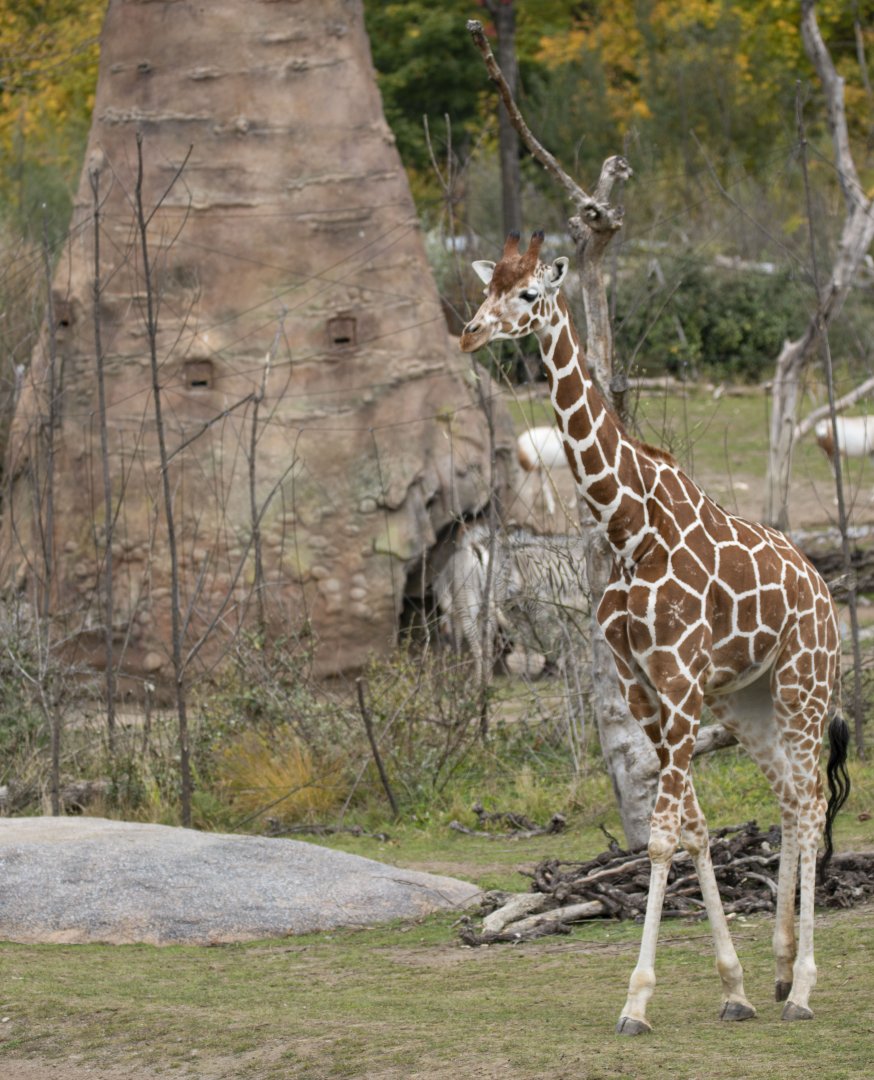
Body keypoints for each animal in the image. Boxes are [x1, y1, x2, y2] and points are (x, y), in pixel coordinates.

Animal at [460, 231, 851, 1035]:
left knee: (810, 803)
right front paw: (733, 987)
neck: (627, 524)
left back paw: (801, 987)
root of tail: (822, 585)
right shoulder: (643, 684)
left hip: (803, 681)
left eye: (528, 294)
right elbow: (693, 829)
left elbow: (666, 834)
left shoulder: (676, 678)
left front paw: (637, 1001)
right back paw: (777, 971)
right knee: (789, 800)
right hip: (747, 699)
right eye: (488, 287)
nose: (471, 333)